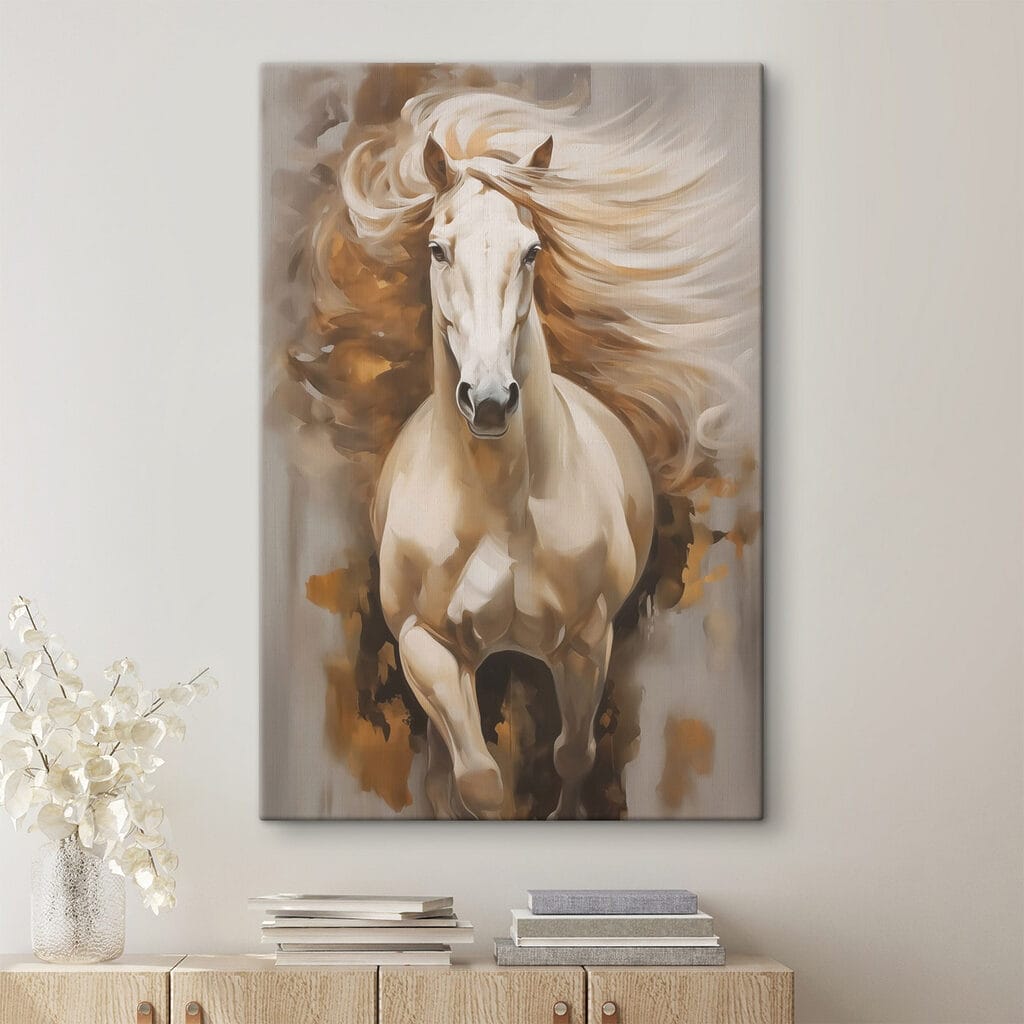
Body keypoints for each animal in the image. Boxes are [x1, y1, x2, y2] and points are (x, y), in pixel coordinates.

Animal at [371, 135, 655, 819]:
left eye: (530, 250)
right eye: (437, 249)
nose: (491, 401)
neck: (498, 507)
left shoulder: (586, 642)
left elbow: (572, 755)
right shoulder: (427, 647)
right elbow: (478, 781)